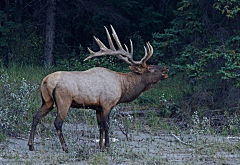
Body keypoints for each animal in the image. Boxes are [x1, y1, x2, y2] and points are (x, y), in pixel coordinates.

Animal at [28, 25, 169, 153]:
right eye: (150, 68)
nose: (166, 68)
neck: (122, 87)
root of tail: (46, 80)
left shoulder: (97, 107)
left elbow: (100, 126)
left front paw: (100, 146)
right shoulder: (107, 104)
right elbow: (106, 125)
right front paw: (107, 146)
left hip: (47, 101)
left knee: (35, 116)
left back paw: (31, 145)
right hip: (64, 100)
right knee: (57, 122)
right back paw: (65, 147)